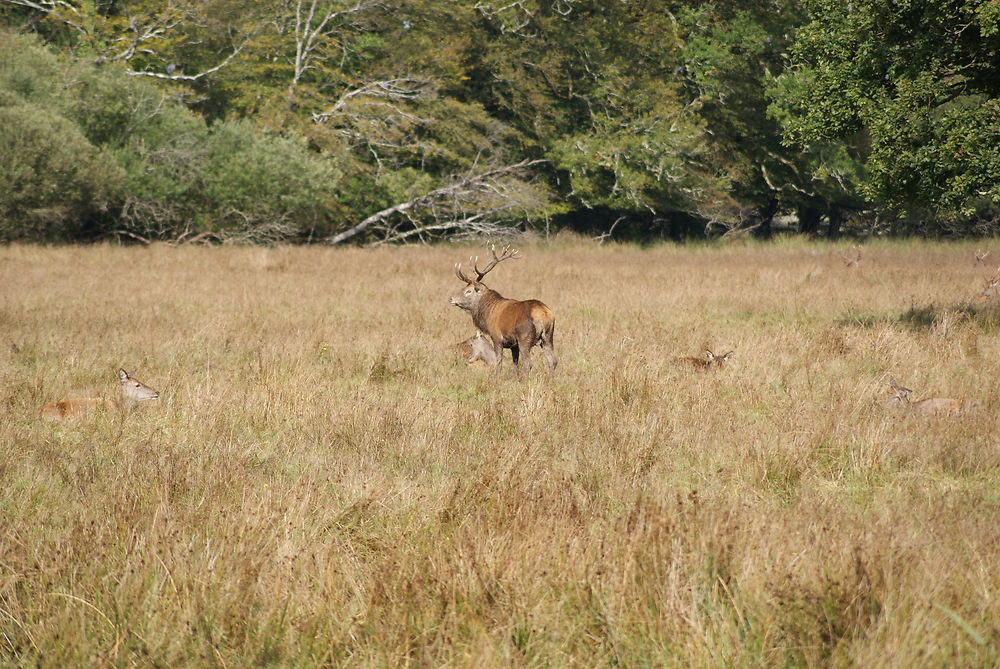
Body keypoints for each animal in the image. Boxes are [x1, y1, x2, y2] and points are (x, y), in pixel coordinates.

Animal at [452, 245, 560, 378]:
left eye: (468, 291)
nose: (451, 298)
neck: (487, 315)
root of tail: (543, 315)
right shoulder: (514, 345)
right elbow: (515, 363)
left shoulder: (497, 338)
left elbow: (499, 361)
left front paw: (496, 378)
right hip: (548, 337)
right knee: (553, 360)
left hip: (525, 338)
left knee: (528, 363)